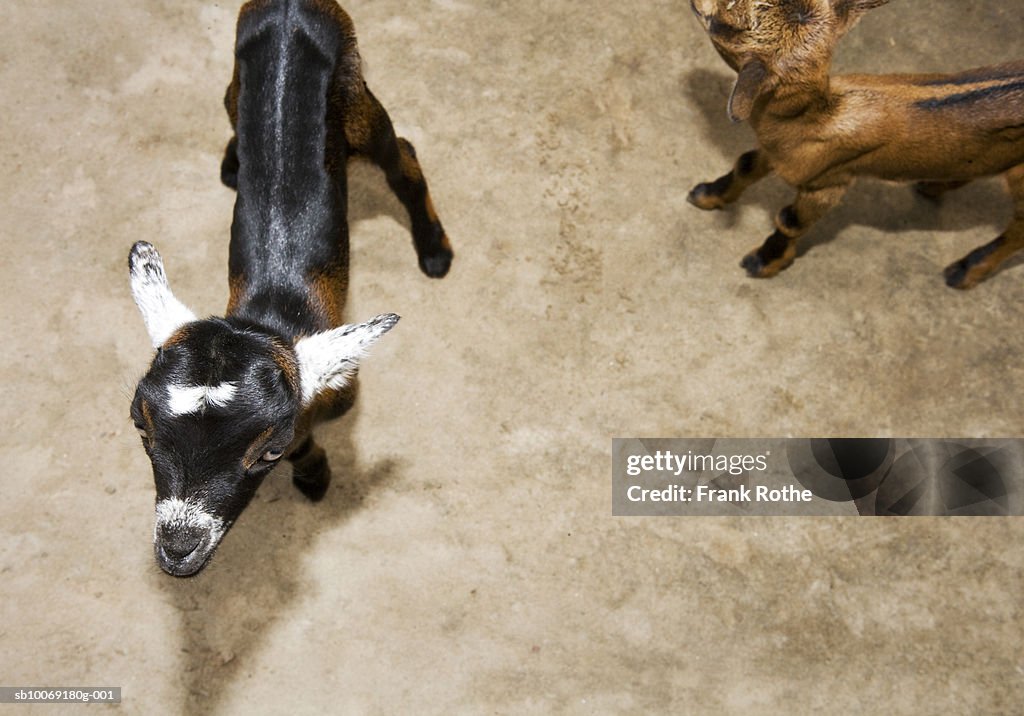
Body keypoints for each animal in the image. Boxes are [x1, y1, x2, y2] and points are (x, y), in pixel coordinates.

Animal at [688, 3, 1024, 288]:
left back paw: (965, 271)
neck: (818, 115)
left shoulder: (828, 181)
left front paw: (763, 262)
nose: (694, 3)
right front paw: (706, 195)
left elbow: (791, 220)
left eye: (724, 25)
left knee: (1018, 230)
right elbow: (745, 164)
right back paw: (932, 186)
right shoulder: (777, 151)